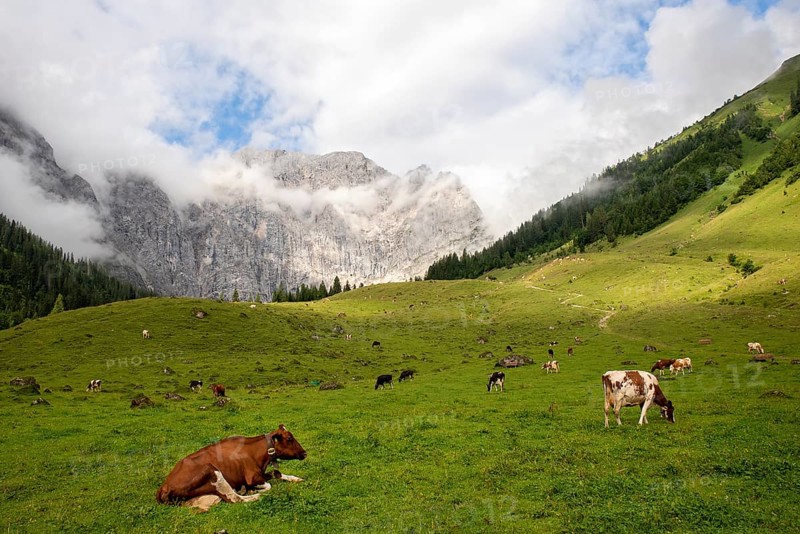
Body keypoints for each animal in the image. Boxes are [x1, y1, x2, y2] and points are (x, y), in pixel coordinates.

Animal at [156, 425, 306, 512]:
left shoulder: (260, 473)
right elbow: (269, 484)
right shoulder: (252, 477)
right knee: (235, 498)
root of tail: (164, 486)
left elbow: (277, 473)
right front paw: (254, 490)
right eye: (289, 438)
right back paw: (253, 494)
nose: (305, 453)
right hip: (213, 471)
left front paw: (296, 478)